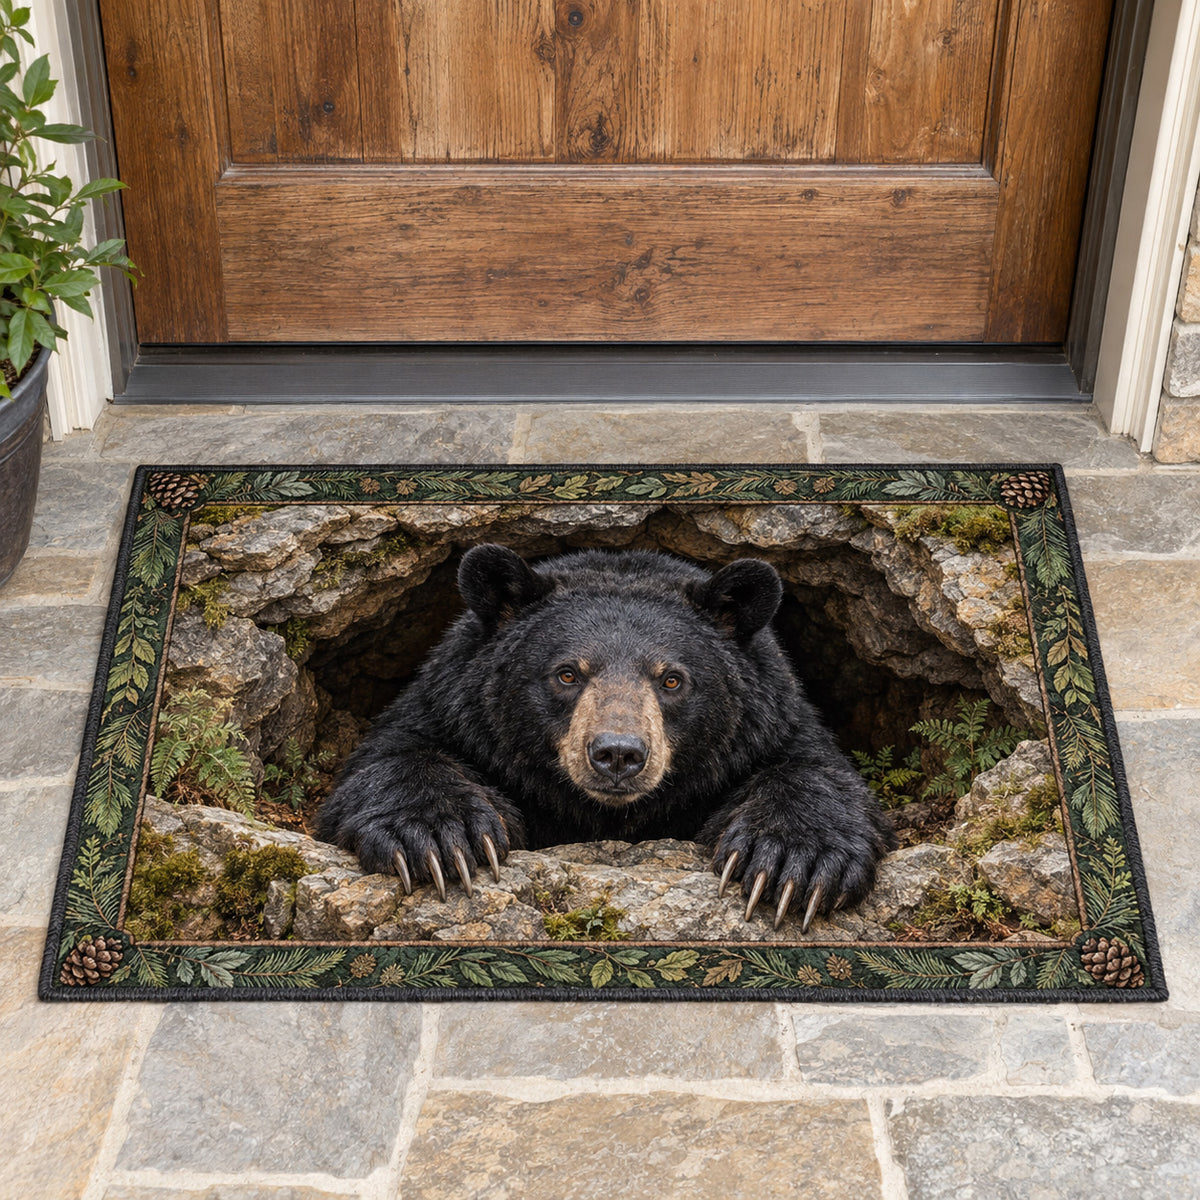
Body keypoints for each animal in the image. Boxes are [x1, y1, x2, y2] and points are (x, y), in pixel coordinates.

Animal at [317, 543, 896, 931]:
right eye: (567, 673)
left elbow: (818, 773)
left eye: (672, 679)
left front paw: (794, 861)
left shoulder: (773, 726)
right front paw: (438, 837)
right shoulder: (448, 711)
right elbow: (393, 756)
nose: (618, 754)